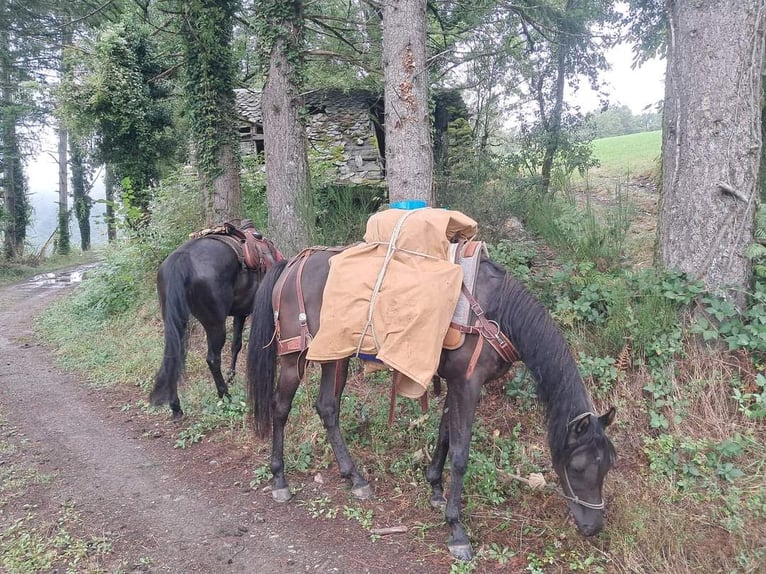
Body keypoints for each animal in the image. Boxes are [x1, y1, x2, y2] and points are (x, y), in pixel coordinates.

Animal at [150, 227, 282, 420]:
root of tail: (180, 260)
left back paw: (176, 407)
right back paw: (225, 396)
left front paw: (231, 376)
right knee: (213, 359)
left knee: (173, 356)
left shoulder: (240, 312)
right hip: (215, 325)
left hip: (176, 321)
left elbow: (236, 344)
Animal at [246, 249, 616, 564]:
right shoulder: (468, 384)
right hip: (294, 357)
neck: (494, 312)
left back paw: (355, 478)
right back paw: (280, 480)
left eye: (608, 465)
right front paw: (456, 530)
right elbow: (461, 455)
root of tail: (292, 264)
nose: (593, 527)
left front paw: (436, 489)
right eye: (578, 466)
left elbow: (445, 435)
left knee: (327, 408)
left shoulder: (456, 382)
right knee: (281, 408)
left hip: (333, 357)